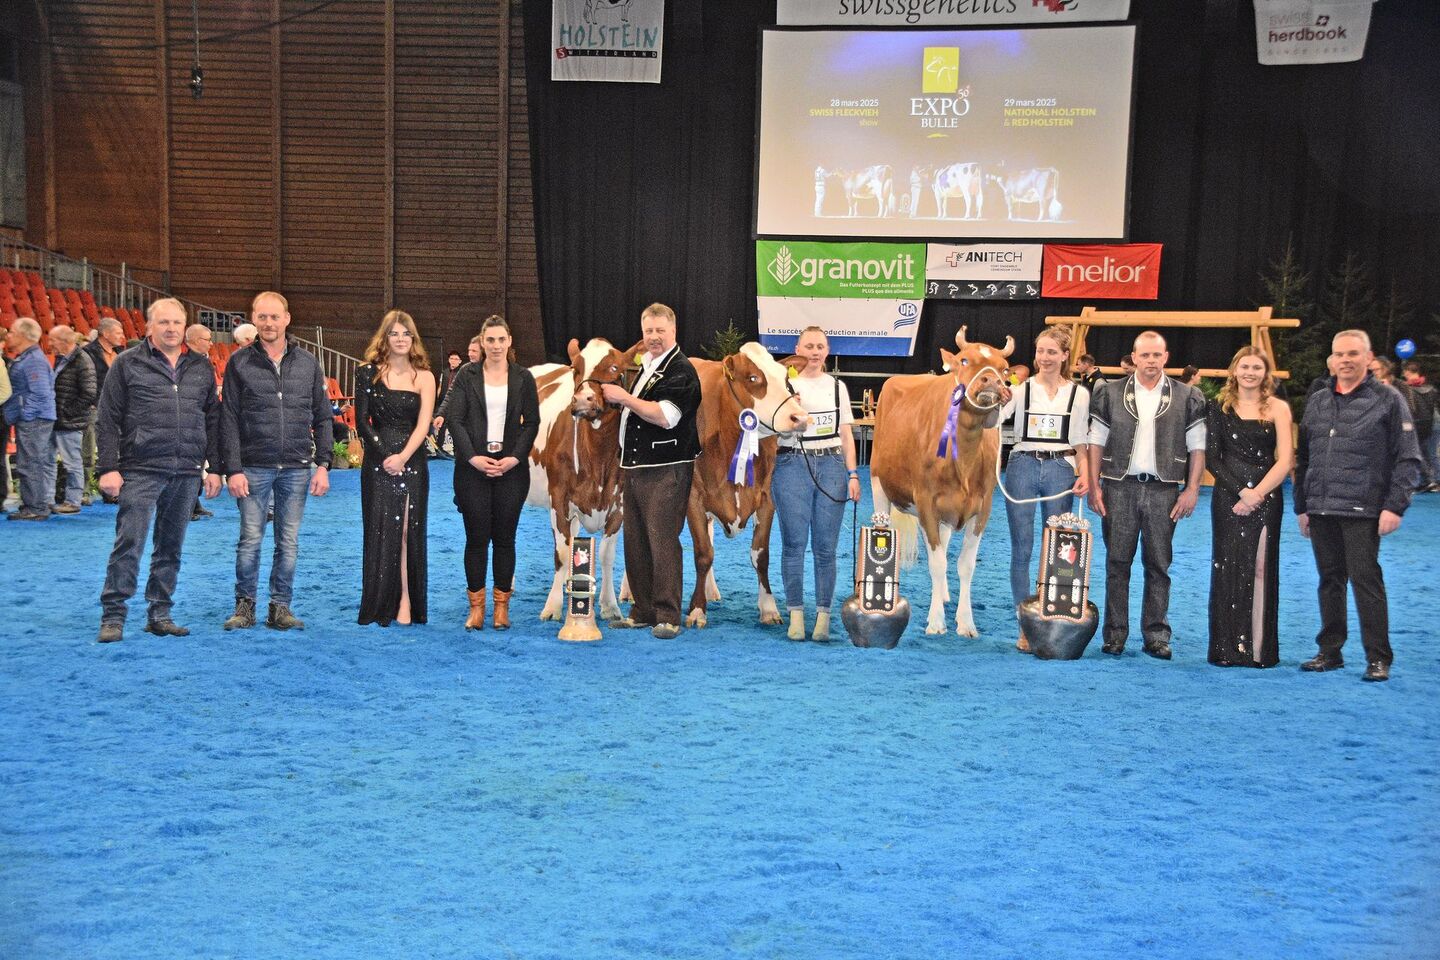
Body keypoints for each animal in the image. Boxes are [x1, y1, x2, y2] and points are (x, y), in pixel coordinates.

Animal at [526, 338, 637, 623]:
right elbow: (563, 552)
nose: (582, 399)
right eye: (576, 368)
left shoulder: (619, 504)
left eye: (614, 367)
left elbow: (606, 554)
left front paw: (609, 606)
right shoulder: (559, 499)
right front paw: (552, 607)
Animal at [682, 342, 811, 627]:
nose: (799, 417)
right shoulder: (692, 497)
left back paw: (711, 590)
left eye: (786, 380)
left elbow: (760, 555)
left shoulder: (766, 497)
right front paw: (696, 610)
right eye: (753, 378)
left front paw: (769, 608)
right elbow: (703, 554)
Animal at [870, 326, 1014, 636]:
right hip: (879, 484)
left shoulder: (982, 507)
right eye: (963, 360)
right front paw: (936, 622)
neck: (964, 459)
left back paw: (944, 594)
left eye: (1005, 368)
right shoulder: (926, 500)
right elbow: (937, 563)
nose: (991, 382)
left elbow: (964, 565)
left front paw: (966, 621)